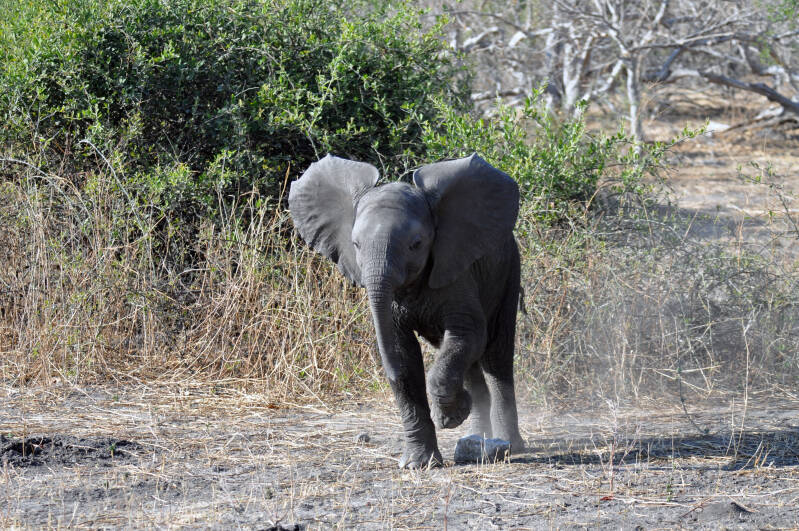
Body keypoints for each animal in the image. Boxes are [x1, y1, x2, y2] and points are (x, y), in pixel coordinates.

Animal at [288, 153, 524, 468]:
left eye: (417, 244)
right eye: (355, 245)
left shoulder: (456, 271)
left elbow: (470, 333)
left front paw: (449, 416)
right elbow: (404, 354)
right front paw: (419, 464)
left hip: (508, 269)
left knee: (496, 355)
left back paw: (510, 445)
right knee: (470, 360)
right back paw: (477, 436)